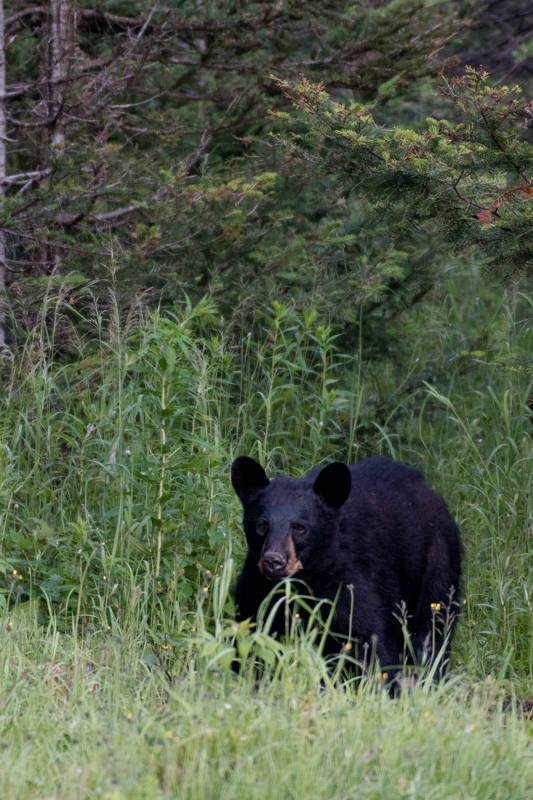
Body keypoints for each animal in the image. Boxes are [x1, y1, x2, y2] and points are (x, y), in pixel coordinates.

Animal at [233, 456, 462, 680]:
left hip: (436, 560)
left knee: (432, 627)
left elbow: (369, 639)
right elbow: (251, 633)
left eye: (299, 528)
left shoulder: (351, 579)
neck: (308, 577)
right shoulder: (258, 585)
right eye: (261, 525)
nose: (274, 561)